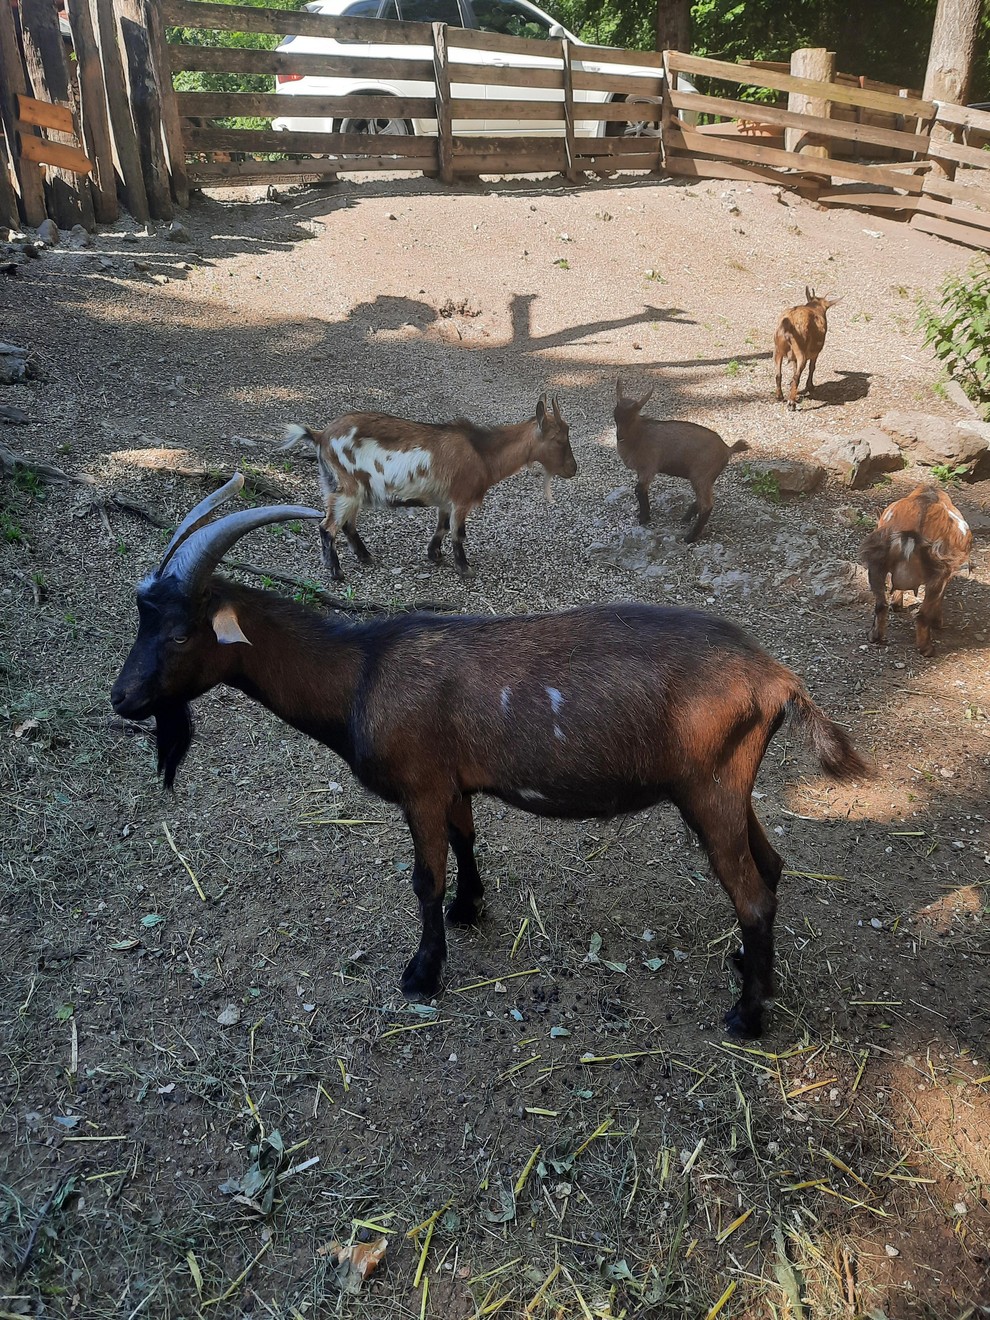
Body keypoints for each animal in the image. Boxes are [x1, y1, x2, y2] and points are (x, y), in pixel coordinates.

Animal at [114, 480, 865, 1034]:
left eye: (179, 631)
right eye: (141, 619)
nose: (122, 698)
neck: (359, 673)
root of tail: (777, 678)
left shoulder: (418, 785)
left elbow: (424, 877)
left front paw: (422, 973)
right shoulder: (452, 781)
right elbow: (465, 840)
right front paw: (469, 908)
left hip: (707, 789)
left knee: (753, 894)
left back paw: (746, 1016)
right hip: (729, 788)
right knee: (771, 867)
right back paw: (748, 970)